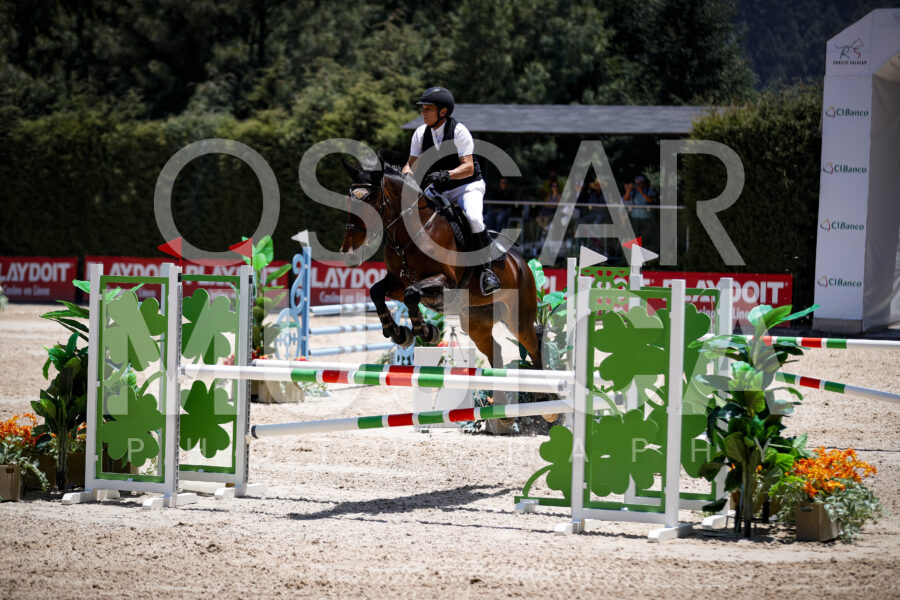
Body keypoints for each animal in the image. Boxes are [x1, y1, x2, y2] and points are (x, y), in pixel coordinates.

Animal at [339, 157, 543, 372]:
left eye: (371, 201)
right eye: (347, 201)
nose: (348, 254)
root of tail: (522, 264)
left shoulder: (447, 283)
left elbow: (411, 293)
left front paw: (425, 331)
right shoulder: (398, 283)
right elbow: (377, 291)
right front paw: (398, 333)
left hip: (518, 319)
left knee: (534, 348)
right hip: (476, 321)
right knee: (494, 351)